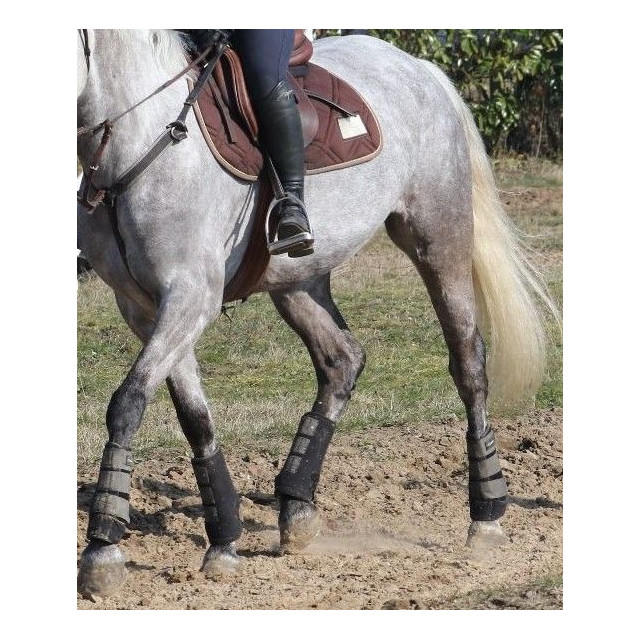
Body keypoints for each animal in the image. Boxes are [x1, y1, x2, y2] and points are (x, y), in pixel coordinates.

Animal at [77, 29, 557, 597]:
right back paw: (297, 507)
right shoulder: (146, 307)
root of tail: (420, 69)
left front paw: (103, 548)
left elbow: (128, 403)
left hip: (438, 238)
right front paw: (224, 538)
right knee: (342, 360)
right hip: (299, 281)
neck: (141, 136)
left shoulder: (190, 296)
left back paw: (485, 515)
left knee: (468, 364)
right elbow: (193, 416)